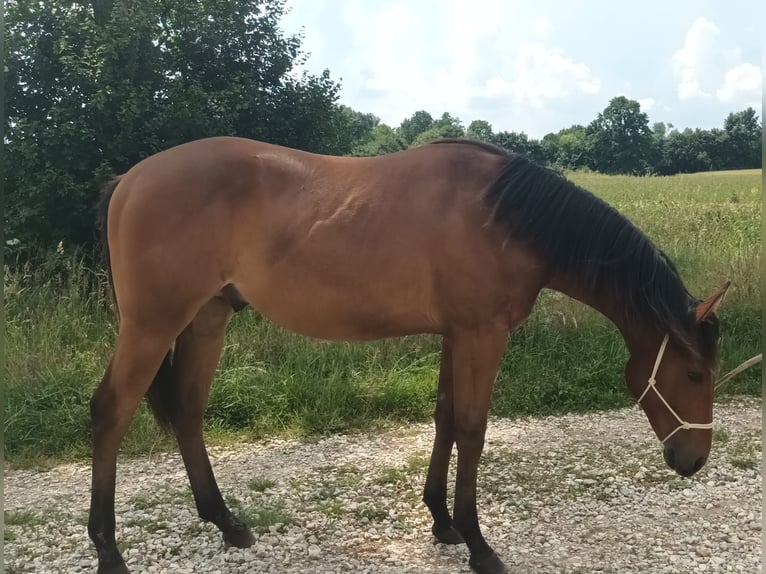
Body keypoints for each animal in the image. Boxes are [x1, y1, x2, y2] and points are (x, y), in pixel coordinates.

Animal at [87, 137, 728, 572]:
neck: (505, 217)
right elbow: (472, 429)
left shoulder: (456, 335)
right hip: (152, 325)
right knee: (111, 412)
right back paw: (109, 550)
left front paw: (442, 521)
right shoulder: (482, 334)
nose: (693, 461)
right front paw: (478, 544)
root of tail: (129, 180)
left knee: (189, 414)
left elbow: (444, 418)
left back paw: (226, 523)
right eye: (695, 373)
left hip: (205, 321)